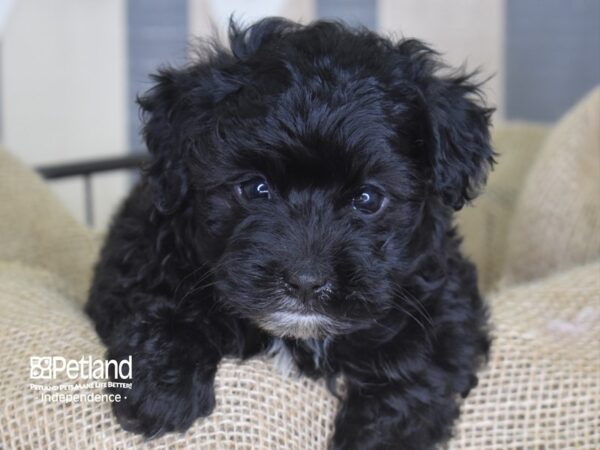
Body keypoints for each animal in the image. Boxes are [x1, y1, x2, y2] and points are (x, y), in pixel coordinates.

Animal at [86, 18, 494, 450]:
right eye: (255, 189)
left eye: (367, 199)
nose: (305, 282)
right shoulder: (142, 249)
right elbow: (163, 296)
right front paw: (162, 391)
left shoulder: (439, 296)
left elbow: (419, 361)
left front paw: (380, 437)